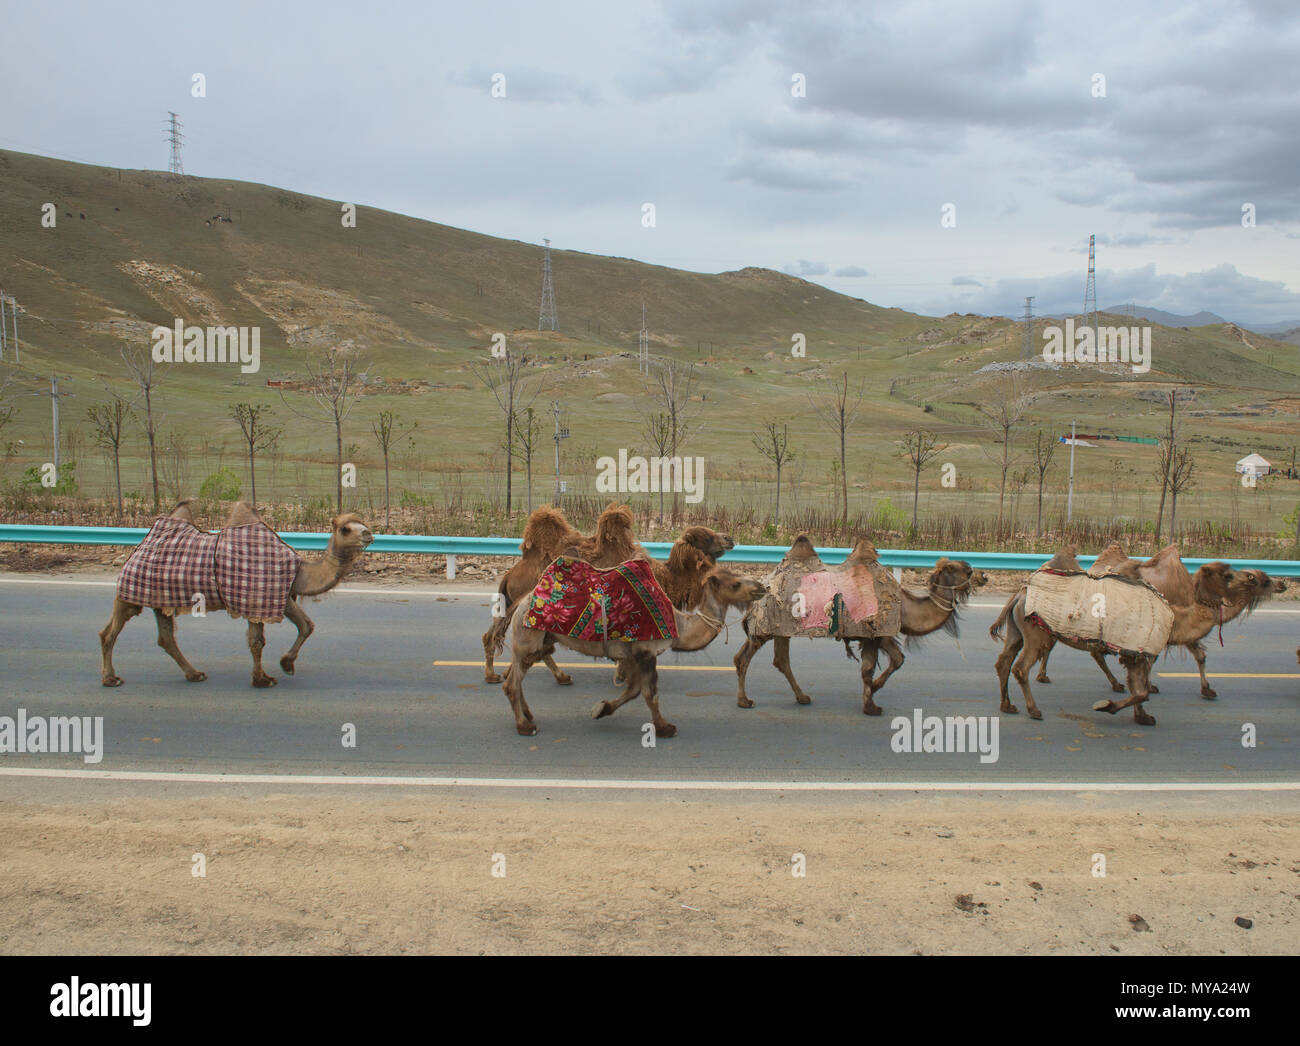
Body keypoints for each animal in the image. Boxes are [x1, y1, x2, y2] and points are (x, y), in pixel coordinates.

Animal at [98, 501, 374, 691]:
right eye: (346, 528)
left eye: (363, 522)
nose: (369, 534)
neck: (298, 571)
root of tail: (140, 545)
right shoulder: (260, 599)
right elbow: (258, 641)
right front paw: (264, 678)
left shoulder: (280, 597)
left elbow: (305, 626)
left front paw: (284, 666)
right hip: (129, 592)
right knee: (109, 632)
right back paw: (111, 678)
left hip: (161, 599)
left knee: (166, 637)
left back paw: (195, 674)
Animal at [738, 543, 977, 712]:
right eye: (952, 567)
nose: (972, 569)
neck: (903, 606)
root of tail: (763, 585)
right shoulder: (874, 632)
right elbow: (868, 669)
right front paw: (871, 705)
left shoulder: (882, 633)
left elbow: (896, 660)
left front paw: (874, 692)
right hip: (766, 624)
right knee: (744, 658)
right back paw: (745, 701)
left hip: (781, 629)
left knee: (778, 659)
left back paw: (803, 697)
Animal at [987, 543, 1284, 696]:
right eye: (1253, 577)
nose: (1280, 583)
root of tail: (1024, 588)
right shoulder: (1159, 632)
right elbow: (1191, 656)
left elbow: (1192, 656)